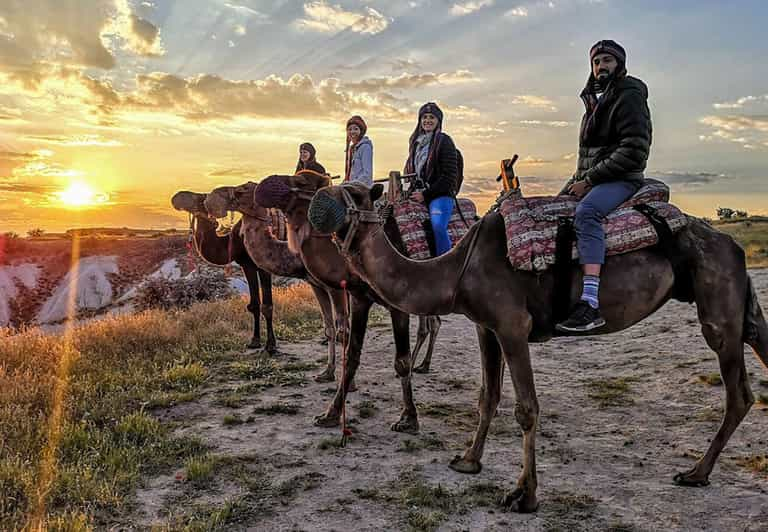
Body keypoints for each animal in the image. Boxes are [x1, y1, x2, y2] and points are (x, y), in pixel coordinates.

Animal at [171, 191, 276, 354]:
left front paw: (271, 345)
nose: (176, 197)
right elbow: (254, 305)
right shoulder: (248, 266)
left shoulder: (264, 266)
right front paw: (254, 341)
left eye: (200, 198)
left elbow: (267, 306)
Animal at [206, 177, 438, 434]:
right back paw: (422, 365)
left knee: (428, 324)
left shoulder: (340, 288)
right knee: (431, 322)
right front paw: (328, 375)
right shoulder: (320, 285)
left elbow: (344, 332)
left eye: (243, 189)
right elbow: (331, 331)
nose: (212, 198)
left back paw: (419, 366)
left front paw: (404, 416)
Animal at [308, 182, 764, 512]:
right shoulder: (485, 327)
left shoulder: (512, 326)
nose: (319, 199)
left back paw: (696, 472)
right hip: (732, 297)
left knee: (738, 390)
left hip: (717, 301)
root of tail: (733, 244)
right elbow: (487, 396)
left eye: (357, 193)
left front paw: (523, 495)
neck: (457, 269)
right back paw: (700, 471)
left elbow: (526, 409)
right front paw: (468, 460)